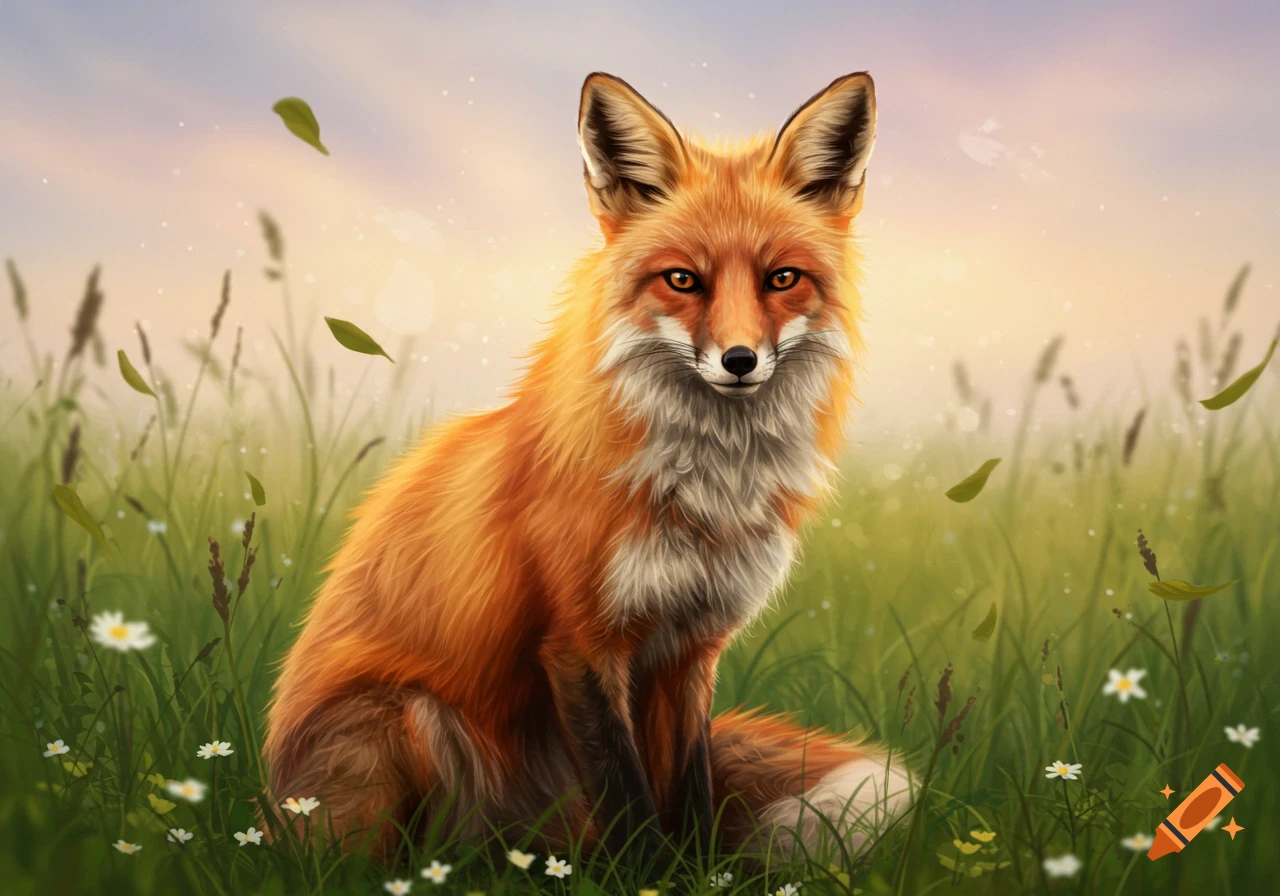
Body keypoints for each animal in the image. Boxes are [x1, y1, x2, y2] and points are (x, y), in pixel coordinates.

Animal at [264, 70, 912, 863]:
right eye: (682, 280)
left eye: (782, 278)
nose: (739, 361)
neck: (704, 495)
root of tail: (269, 802)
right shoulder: (579, 641)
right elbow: (627, 794)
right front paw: (652, 872)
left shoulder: (692, 647)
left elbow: (689, 788)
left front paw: (697, 871)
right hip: (412, 718)